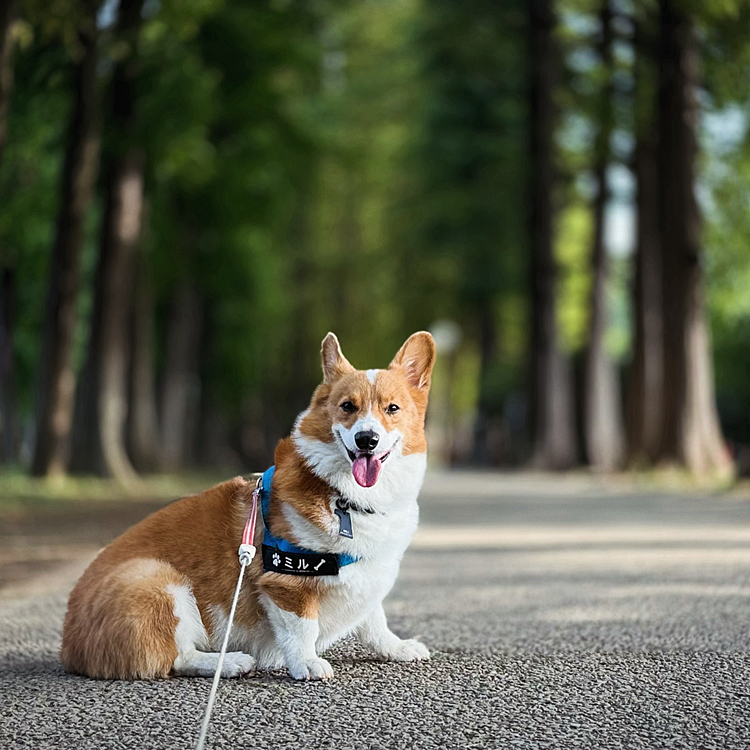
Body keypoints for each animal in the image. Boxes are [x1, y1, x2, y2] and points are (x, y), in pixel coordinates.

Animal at [61, 332, 438, 684]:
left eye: (392, 408)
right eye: (348, 406)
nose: (366, 440)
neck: (346, 498)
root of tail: (68, 645)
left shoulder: (367, 573)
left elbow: (374, 619)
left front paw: (397, 647)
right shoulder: (287, 583)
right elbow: (303, 628)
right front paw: (307, 663)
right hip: (157, 580)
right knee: (175, 657)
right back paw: (229, 662)